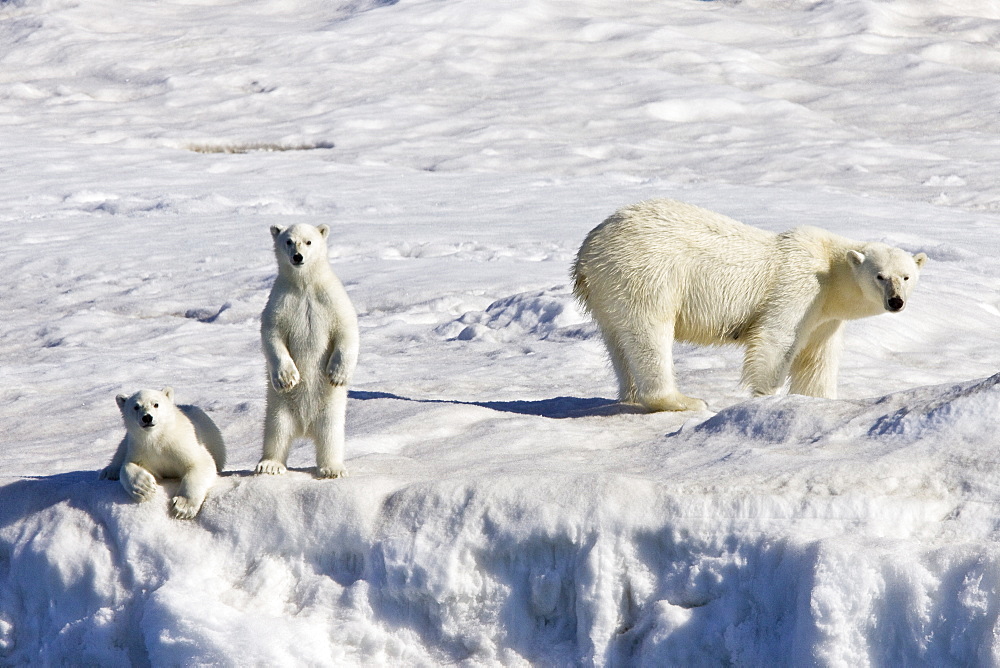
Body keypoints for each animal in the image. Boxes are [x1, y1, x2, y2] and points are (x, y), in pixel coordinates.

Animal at [576, 197, 924, 412]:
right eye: (880, 276)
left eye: (906, 276)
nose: (896, 301)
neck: (831, 271)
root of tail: (589, 248)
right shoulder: (800, 287)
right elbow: (776, 338)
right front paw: (765, 398)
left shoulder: (825, 317)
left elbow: (816, 360)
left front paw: (817, 400)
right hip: (646, 273)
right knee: (650, 333)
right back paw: (683, 400)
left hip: (607, 292)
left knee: (618, 341)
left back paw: (631, 397)